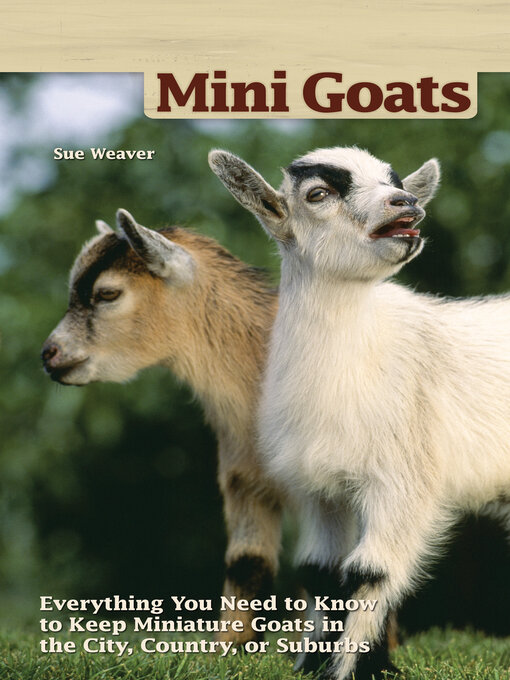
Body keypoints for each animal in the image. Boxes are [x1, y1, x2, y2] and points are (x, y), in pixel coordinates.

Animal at [209, 146, 510, 680]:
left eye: (395, 180)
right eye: (317, 194)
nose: (405, 202)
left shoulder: (403, 477)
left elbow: (369, 572)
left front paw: (353, 669)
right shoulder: (318, 486)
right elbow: (318, 571)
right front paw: (311, 662)